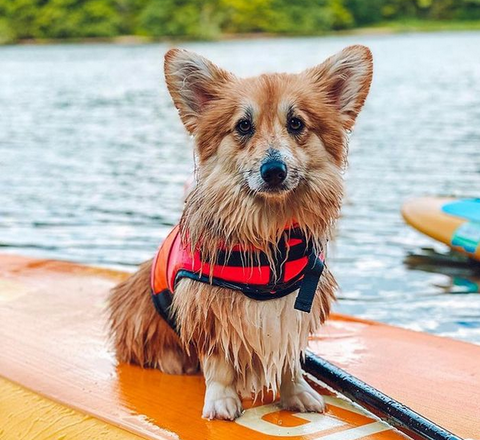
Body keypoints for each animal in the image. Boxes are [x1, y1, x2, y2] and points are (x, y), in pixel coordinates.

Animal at [107, 44, 374, 420]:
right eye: (243, 126)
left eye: (296, 123)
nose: (274, 170)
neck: (271, 231)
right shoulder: (209, 309)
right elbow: (219, 362)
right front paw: (221, 402)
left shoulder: (293, 309)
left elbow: (290, 358)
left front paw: (296, 393)